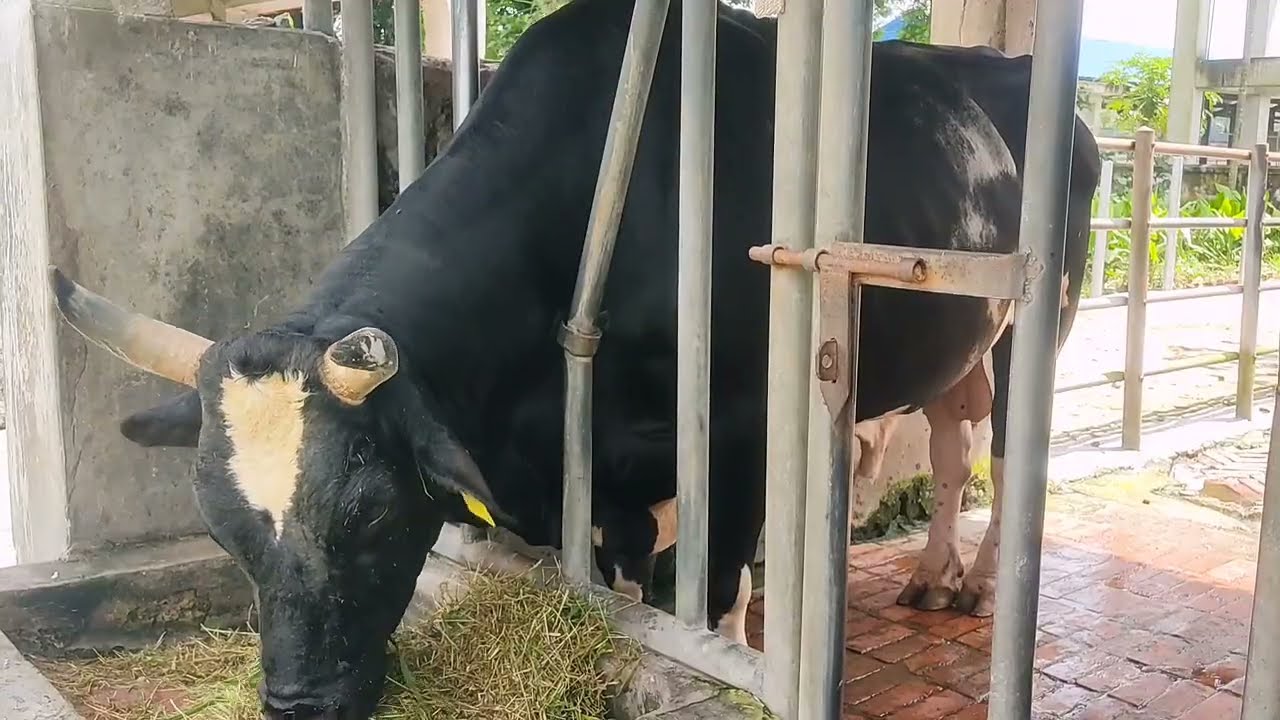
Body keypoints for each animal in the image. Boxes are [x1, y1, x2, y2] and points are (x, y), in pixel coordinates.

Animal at [47, 0, 1099, 718]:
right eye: (221, 529)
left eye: (374, 516)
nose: (301, 706)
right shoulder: (600, 480)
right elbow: (631, 590)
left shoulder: (739, 439)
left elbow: (716, 603)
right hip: (957, 339)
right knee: (952, 443)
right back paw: (930, 574)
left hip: (1041, 315)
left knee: (1008, 452)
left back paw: (980, 583)